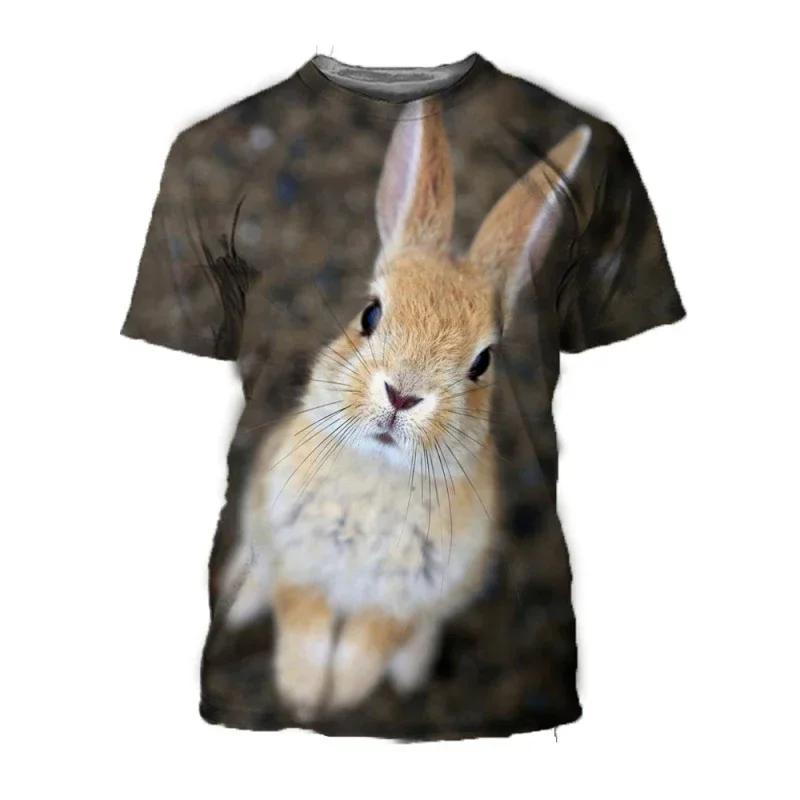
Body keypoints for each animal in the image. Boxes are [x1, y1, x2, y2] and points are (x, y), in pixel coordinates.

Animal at [226, 98, 591, 719]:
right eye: (370, 314)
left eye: (483, 362)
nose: (402, 396)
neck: (380, 475)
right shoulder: (301, 569)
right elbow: (304, 625)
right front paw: (303, 693)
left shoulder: (406, 599)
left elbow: (371, 644)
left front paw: (342, 696)